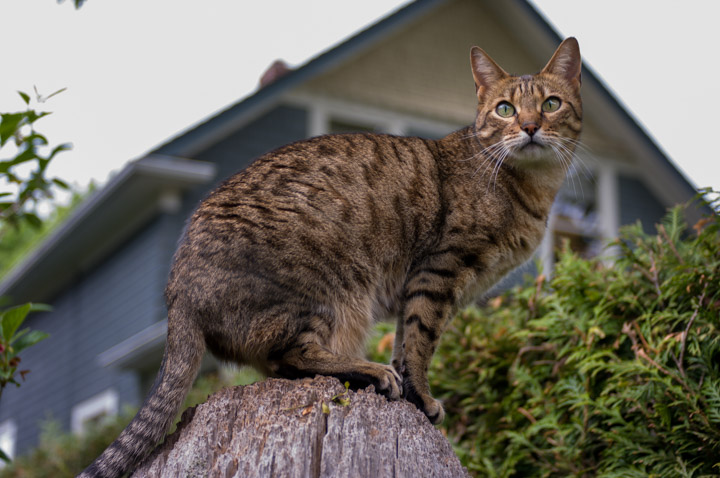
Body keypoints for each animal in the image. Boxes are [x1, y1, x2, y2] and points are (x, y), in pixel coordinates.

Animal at [81, 35, 584, 476]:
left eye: (551, 104)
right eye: (505, 109)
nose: (530, 126)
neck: (528, 188)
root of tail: (177, 296)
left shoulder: (425, 289)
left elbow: (406, 343)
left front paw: (414, 392)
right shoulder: (437, 272)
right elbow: (419, 343)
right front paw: (422, 397)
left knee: (283, 366)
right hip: (328, 295)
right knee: (295, 357)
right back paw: (370, 371)